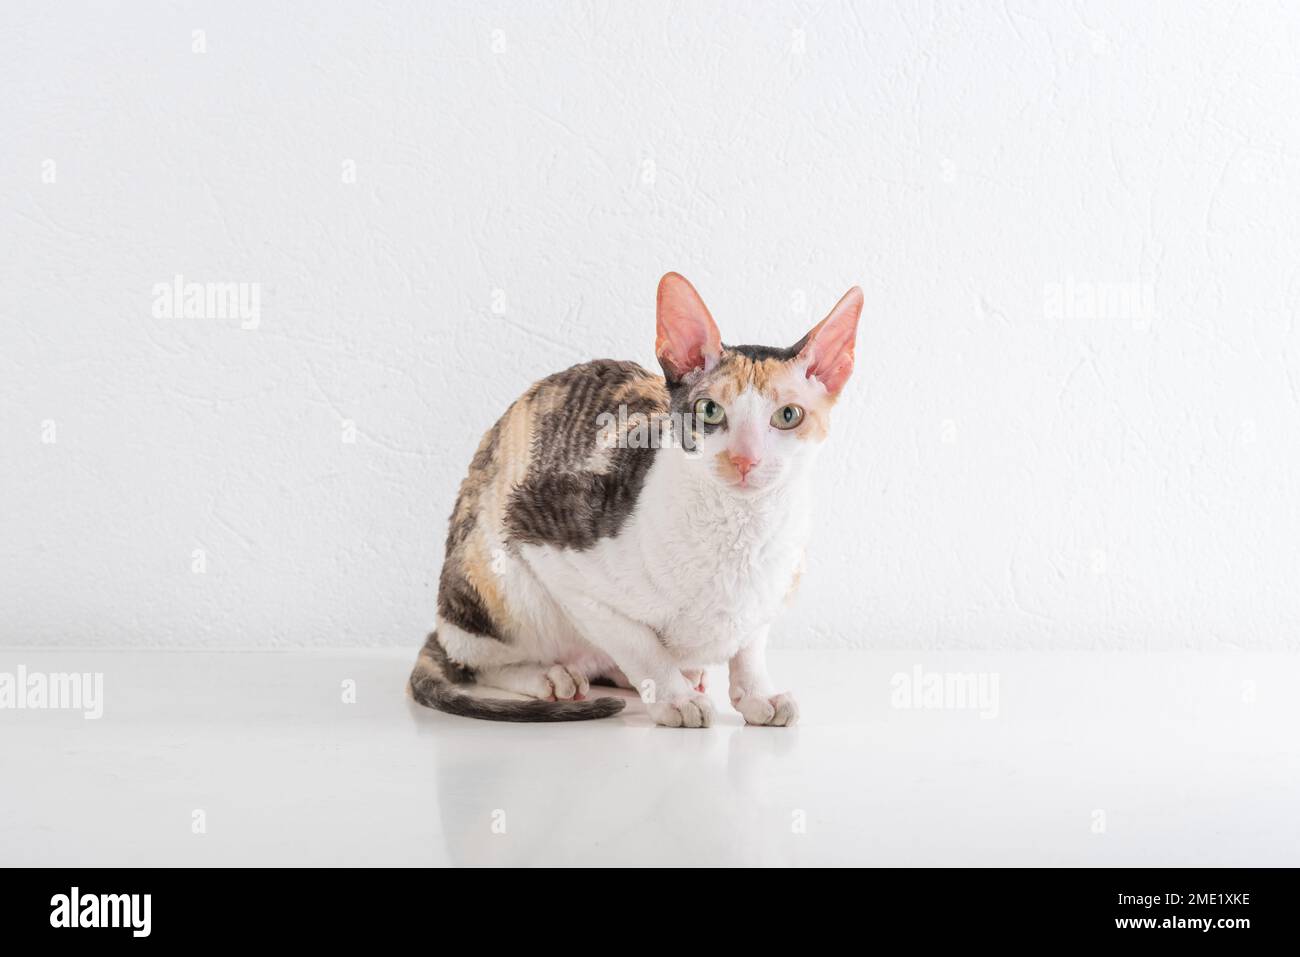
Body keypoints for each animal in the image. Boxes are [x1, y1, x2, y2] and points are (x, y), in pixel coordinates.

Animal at [405, 273, 852, 728]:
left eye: (788, 416)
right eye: (709, 410)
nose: (746, 459)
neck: (742, 529)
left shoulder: (773, 589)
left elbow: (750, 645)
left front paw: (757, 694)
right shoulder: (544, 538)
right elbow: (638, 643)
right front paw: (674, 698)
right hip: (498, 576)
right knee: (478, 660)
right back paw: (550, 676)